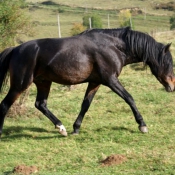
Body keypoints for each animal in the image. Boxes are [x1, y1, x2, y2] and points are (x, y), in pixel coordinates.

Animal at [0, 27, 175, 137]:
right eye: (169, 63)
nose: (172, 86)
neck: (114, 46)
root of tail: (15, 49)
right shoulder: (110, 79)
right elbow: (129, 98)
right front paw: (142, 125)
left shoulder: (95, 82)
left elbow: (86, 104)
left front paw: (76, 128)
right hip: (20, 84)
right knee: (5, 105)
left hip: (43, 82)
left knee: (40, 104)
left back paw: (61, 128)